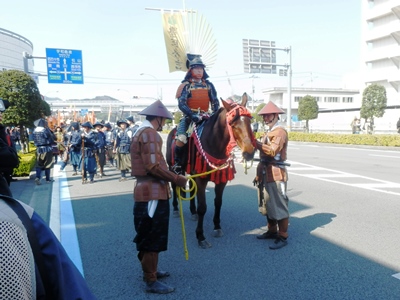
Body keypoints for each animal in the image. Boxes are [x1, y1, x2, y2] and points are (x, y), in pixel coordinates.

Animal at [166, 92, 256, 248]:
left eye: (249, 122)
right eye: (233, 124)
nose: (249, 153)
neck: (214, 144)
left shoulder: (221, 180)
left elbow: (218, 202)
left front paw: (217, 227)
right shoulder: (201, 178)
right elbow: (203, 206)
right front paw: (200, 236)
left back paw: (193, 212)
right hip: (173, 167)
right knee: (175, 185)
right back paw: (177, 209)